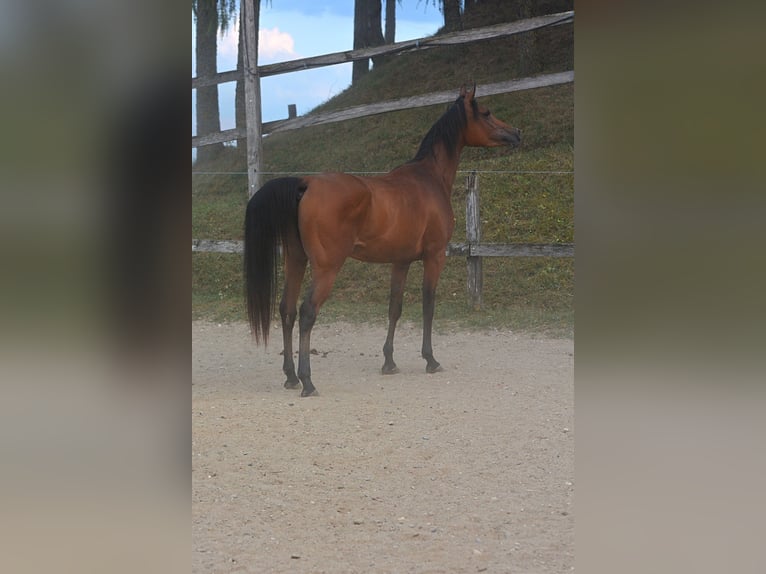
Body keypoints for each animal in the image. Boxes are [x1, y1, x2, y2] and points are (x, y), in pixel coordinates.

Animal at [246, 85, 520, 398]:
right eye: (486, 113)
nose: (516, 133)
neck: (429, 177)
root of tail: (306, 184)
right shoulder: (435, 256)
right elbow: (428, 305)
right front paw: (430, 359)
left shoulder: (400, 262)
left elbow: (394, 308)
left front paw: (389, 361)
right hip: (326, 269)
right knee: (306, 313)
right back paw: (307, 381)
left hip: (296, 260)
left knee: (287, 310)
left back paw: (291, 376)